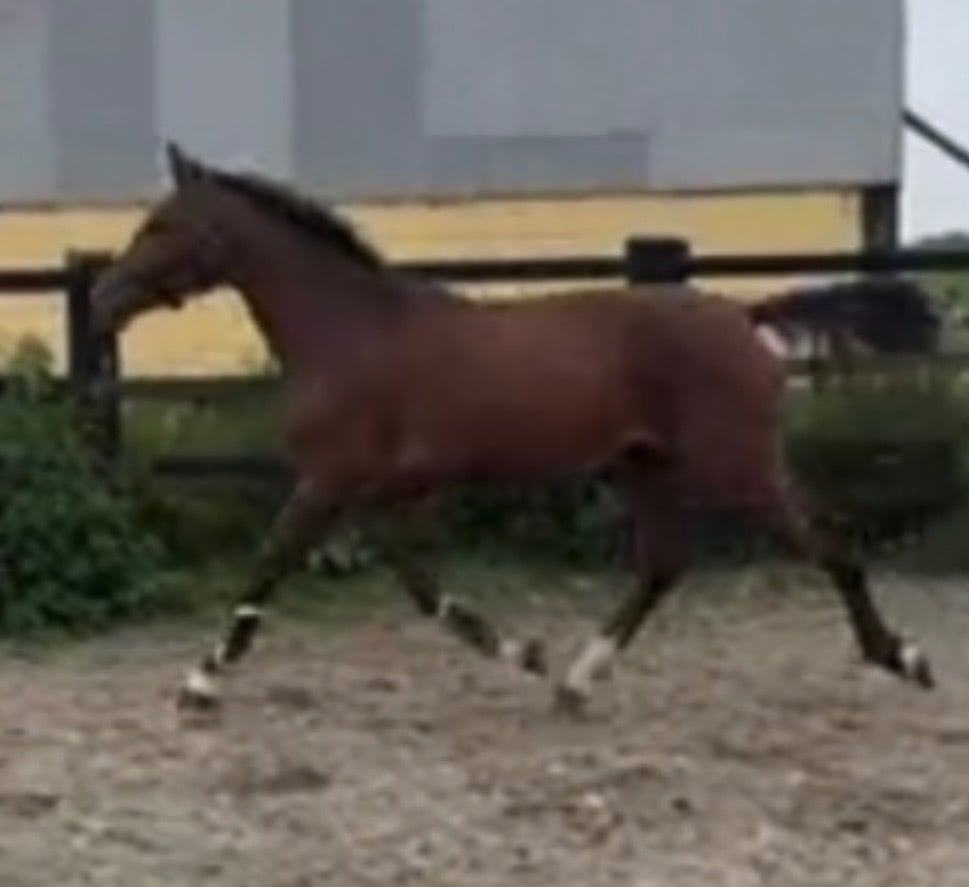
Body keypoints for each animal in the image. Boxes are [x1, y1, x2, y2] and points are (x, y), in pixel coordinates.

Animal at [90, 143, 935, 715]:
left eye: (161, 225)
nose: (102, 298)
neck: (349, 332)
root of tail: (743, 315)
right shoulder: (399, 491)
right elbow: (423, 589)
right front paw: (525, 653)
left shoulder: (329, 480)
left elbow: (269, 564)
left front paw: (200, 681)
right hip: (646, 465)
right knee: (664, 563)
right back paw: (577, 678)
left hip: (737, 466)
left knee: (830, 545)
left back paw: (903, 656)